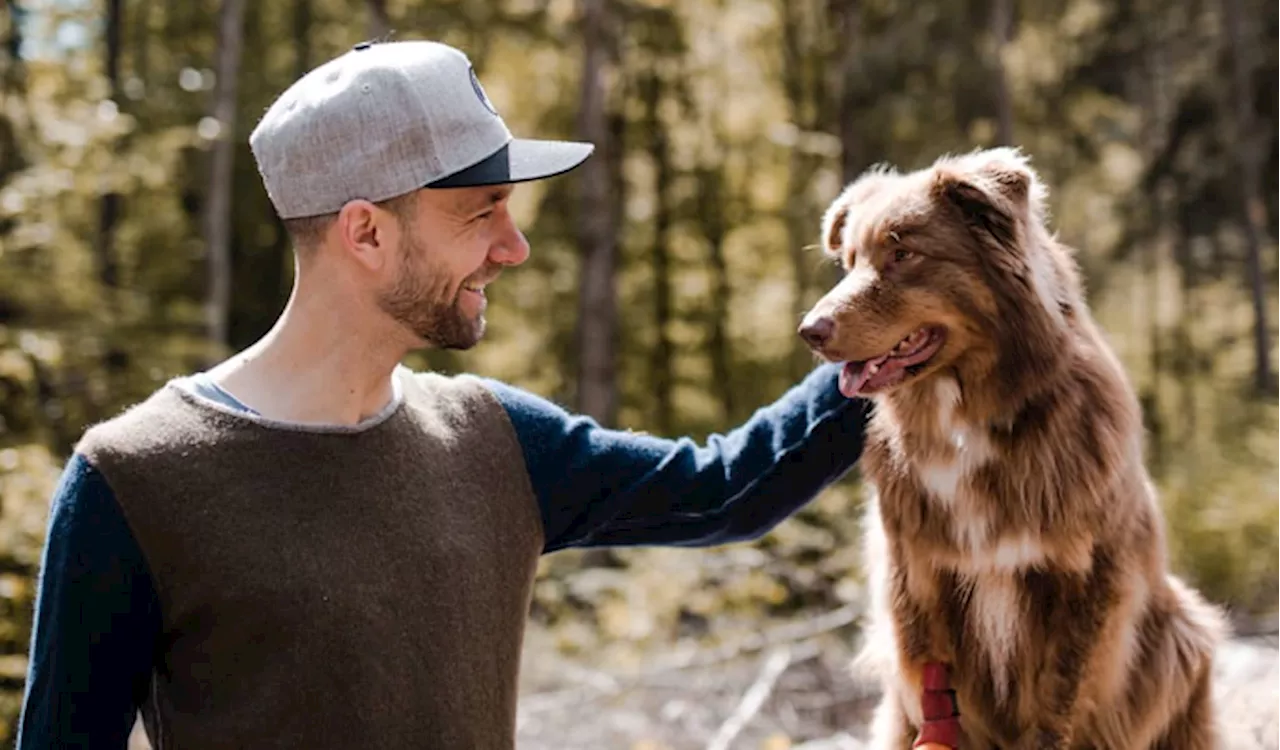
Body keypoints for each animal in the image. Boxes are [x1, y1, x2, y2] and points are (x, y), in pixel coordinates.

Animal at [793, 147, 1223, 747]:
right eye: (850, 261)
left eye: (903, 253)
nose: (809, 330)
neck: (968, 420)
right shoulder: (920, 582)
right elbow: (939, 705)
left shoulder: (1087, 583)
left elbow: (1058, 704)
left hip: (1183, 637)